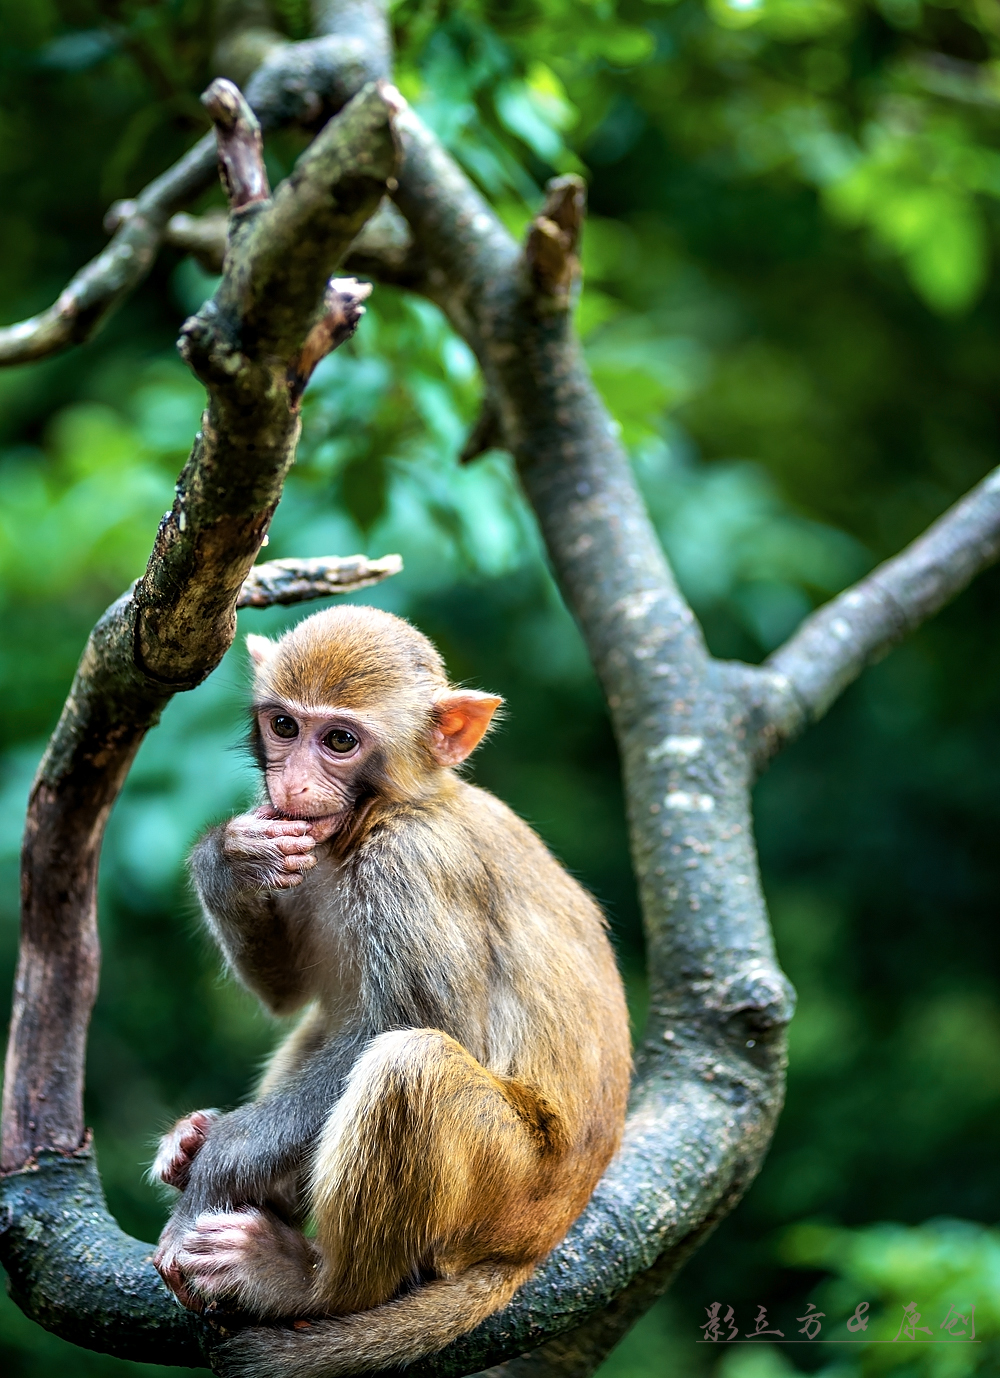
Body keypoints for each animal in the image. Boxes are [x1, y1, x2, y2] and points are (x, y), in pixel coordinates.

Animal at [152, 606, 630, 1378]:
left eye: (340, 741)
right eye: (284, 726)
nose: (292, 785)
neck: (380, 816)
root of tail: (537, 1241)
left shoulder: (410, 869)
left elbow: (426, 1023)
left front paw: (220, 1160)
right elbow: (289, 996)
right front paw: (232, 856)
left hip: (506, 1187)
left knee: (411, 1062)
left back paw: (310, 1284)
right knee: (326, 1023)